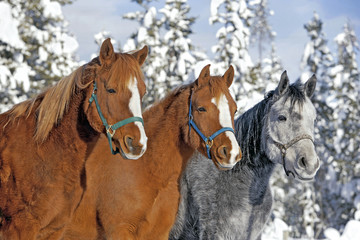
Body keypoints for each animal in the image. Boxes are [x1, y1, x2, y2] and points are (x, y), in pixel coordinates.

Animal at [0, 38, 148, 239]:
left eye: (143, 92)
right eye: (111, 89)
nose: (138, 144)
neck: (42, 151)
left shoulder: (54, 229)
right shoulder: (19, 228)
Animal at [62, 64, 242, 239]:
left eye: (234, 110)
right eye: (201, 109)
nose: (231, 153)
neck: (148, 170)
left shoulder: (159, 233)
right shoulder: (119, 231)